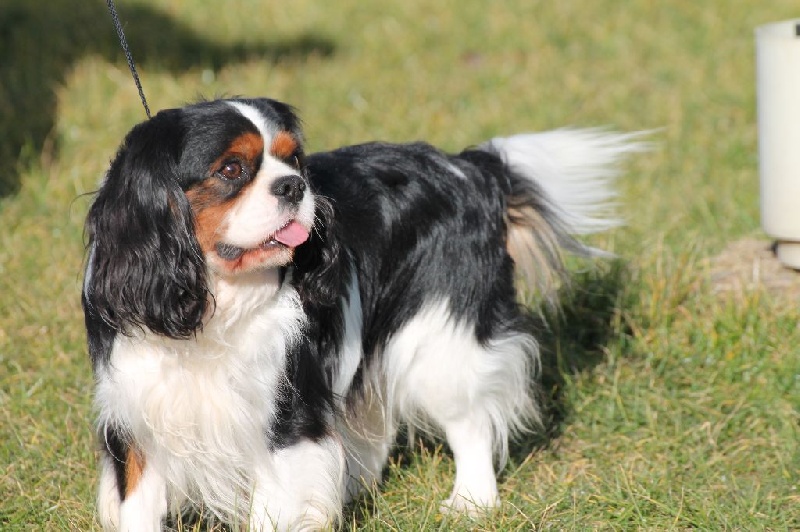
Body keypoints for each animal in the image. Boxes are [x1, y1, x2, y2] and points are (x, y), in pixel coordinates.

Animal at [82, 97, 640, 530]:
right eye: (231, 169)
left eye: (294, 161)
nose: (294, 186)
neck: (215, 299)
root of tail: (471, 169)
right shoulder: (139, 407)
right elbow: (138, 503)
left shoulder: (286, 416)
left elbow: (276, 505)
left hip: (440, 340)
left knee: (469, 420)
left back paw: (471, 502)